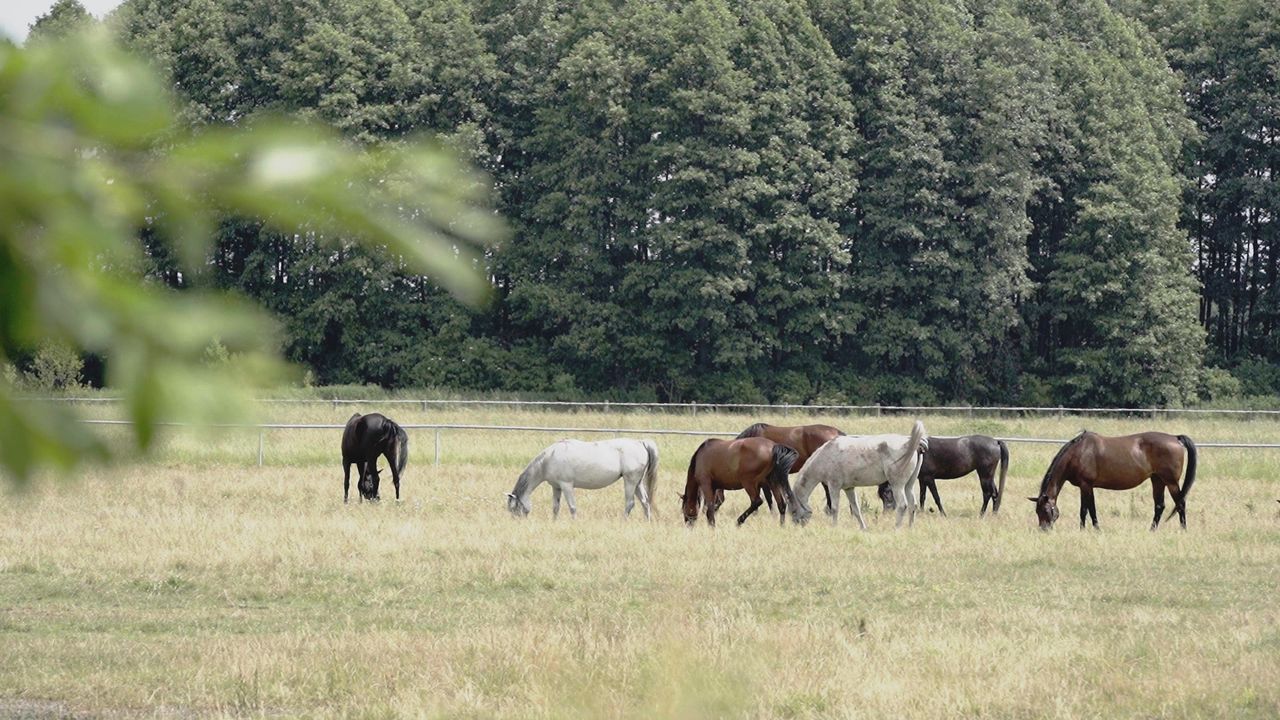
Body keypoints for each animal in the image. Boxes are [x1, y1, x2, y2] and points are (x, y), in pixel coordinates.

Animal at [504, 438, 660, 515]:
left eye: (514, 509)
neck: (549, 459)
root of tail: (641, 443)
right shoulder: (556, 487)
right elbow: (555, 507)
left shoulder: (567, 486)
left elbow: (572, 507)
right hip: (638, 483)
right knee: (645, 503)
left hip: (630, 481)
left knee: (630, 504)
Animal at [783, 420, 926, 527]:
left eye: (793, 511)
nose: (798, 525)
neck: (825, 455)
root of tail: (912, 444)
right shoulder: (849, 488)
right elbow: (856, 509)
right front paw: (863, 528)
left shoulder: (834, 486)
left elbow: (834, 508)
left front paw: (834, 527)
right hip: (908, 485)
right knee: (913, 505)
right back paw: (909, 528)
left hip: (897, 485)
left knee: (902, 506)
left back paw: (896, 528)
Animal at [875, 435, 1003, 512]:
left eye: (887, 493)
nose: (886, 513)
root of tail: (995, 441)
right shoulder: (922, 479)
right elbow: (922, 497)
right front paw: (921, 512)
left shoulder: (929, 478)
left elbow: (936, 497)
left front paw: (943, 514)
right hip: (989, 476)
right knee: (995, 493)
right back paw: (994, 513)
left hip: (984, 475)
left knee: (988, 493)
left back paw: (981, 514)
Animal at [1029, 427, 1198, 530]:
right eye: (1037, 511)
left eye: (1045, 510)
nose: (1044, 530)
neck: (1079, 452)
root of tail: (1175, 438)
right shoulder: (1088, 486)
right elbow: (1090, 509)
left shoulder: (1085, 485)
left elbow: (1085, 510)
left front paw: (1086, 530)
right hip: (1157, 480)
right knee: (1160, 506)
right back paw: (1151, 530)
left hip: (1171, 482)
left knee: (1180, 504)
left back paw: (1183, 530)